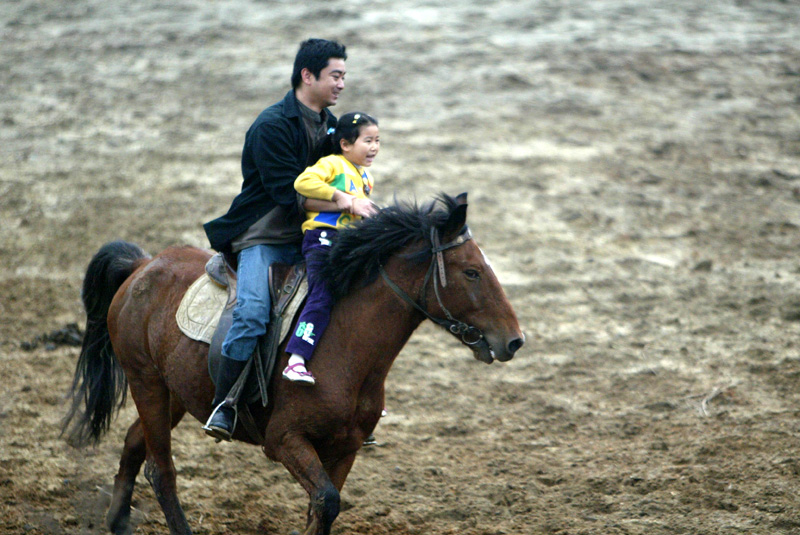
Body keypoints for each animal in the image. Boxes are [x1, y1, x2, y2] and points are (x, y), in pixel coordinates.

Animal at [64, 194, 524, 535]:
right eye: (471, 272)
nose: (514, 340)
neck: (344, 344)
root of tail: (142, 265)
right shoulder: (285, 441)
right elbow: (325, 501)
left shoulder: (344, 448)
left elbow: (322, 508)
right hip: (147, 383)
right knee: (162, 472)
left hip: (175, 391)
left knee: (133, 442)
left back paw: (118, 522)